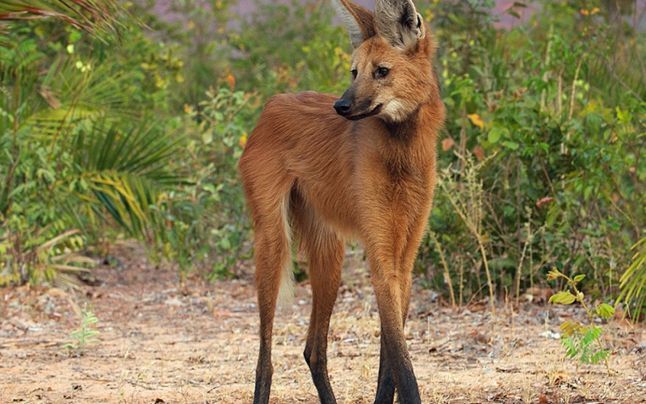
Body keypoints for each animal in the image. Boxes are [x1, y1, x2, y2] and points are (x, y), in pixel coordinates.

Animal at [238, 0, 446, 402]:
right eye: (354, 72)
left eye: (381, 71)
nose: (341, 105)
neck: (402, 152)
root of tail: (273, 102)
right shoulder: (381, 259)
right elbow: (402, 362)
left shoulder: (404, 261)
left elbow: (389, 363)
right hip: (273, 242)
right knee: (265, 359)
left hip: (329, 257)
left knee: (313, 349)